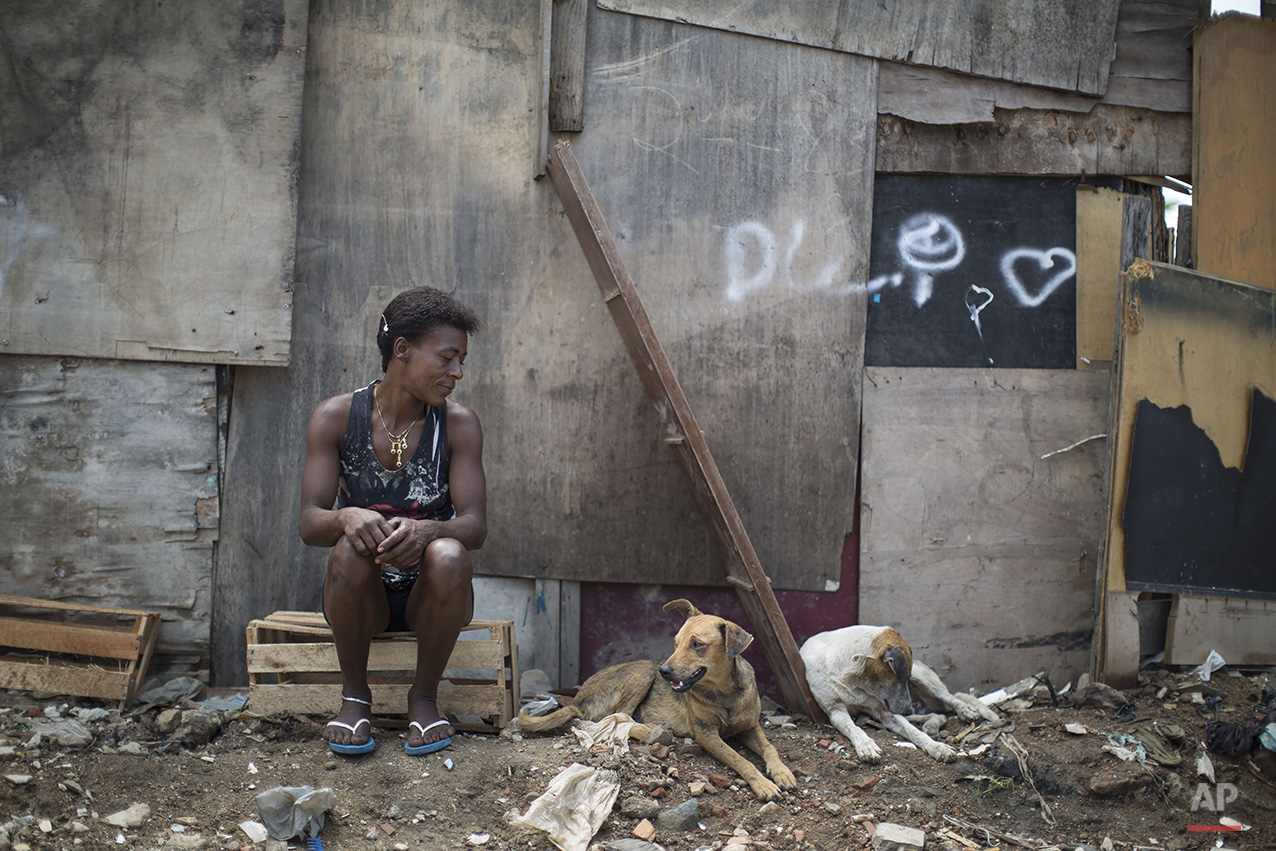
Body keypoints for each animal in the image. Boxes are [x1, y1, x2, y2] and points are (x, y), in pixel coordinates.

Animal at [518, 599, 796, 801]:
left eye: (697, 644)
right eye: (675, 643)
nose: (665, 671)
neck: (723, 692)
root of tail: (577, 698)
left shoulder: (750, 727)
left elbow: (769, 747)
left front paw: (781, 773)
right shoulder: (706, 734)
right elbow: (740, 759)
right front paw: (763, 784)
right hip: (643, 672)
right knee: (618, 718)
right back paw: (656, 729)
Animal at [796, 625, 995, 765]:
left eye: (907, 678)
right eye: (901, 678)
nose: (907, 709)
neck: (854, 681)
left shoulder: (885, 711)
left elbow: (914, 732)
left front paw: (937, 747)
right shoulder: (835, 710)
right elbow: (854, 728)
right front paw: (866, 746)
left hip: (926, 682)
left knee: (949, 699)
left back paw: (964, 711)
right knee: (936, 714)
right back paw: (931, 724)